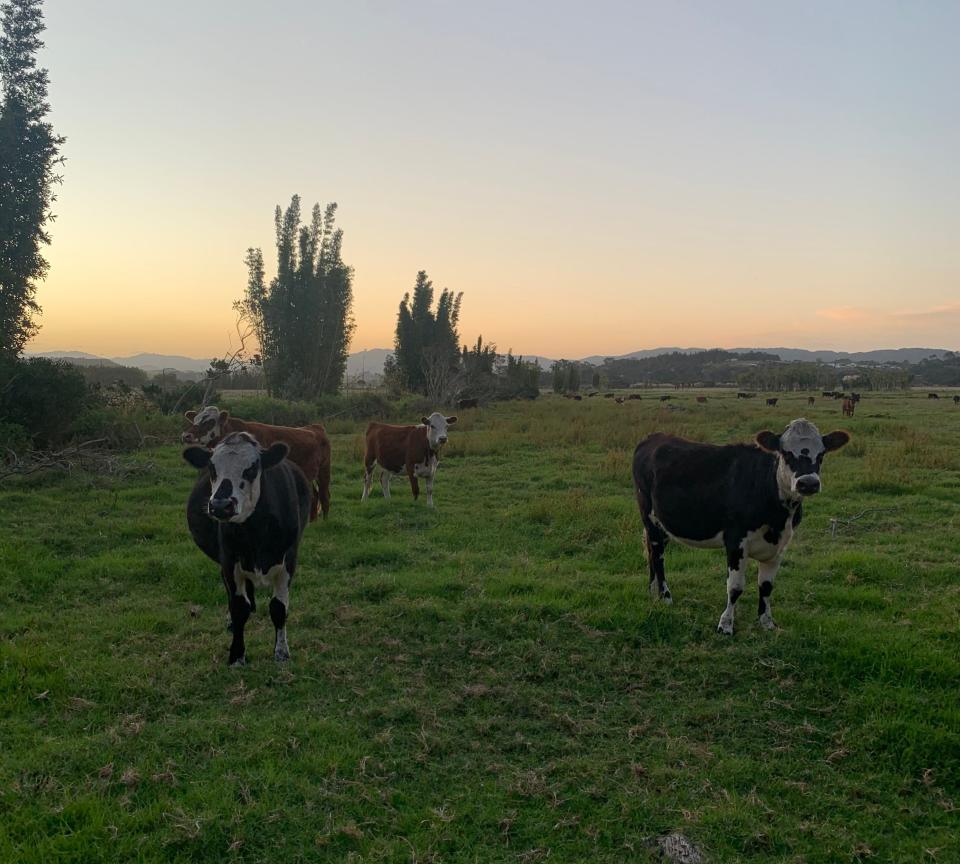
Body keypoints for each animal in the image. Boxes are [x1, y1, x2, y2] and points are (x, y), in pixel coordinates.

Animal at [182, 406, 332, 520]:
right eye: (195, 420)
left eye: (209, 422)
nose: (186, 436)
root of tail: (315, 427)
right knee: (314, 496)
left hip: (324, 470)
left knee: (324, 495)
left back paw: (324, 521)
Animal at [184, 432, 312, 668]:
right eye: (212, 467)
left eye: (252, 468)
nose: (220, 505)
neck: (256, 533)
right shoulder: (230, 561)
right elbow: (238, 607)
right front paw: (236, 655)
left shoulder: (289, 560)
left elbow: (279, 607)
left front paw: (281, 653)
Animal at [632, 418, 852, 636]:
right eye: (786, 452)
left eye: (821, 454)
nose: (808, 483)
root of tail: (654, 437)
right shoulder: (736, 541)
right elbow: (735, 587)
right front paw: (726, 624)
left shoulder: (780, 546)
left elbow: (766, 586)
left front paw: (766, 622)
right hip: (649, 515)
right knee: (658, 556)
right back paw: (665, 597)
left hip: (663, 524)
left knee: (651, 553)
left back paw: (652, 591)